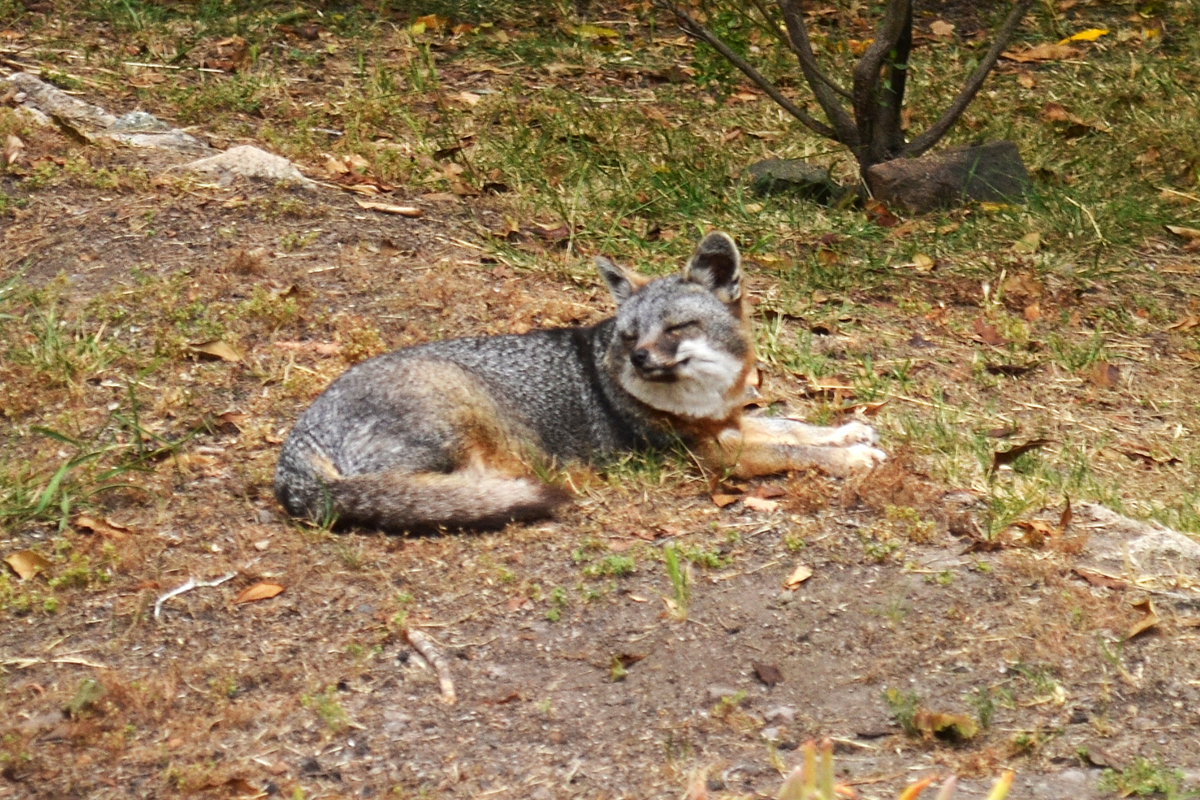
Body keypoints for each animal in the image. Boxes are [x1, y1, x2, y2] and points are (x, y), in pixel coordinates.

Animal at [276, 231, 888, 532]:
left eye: (676, 329)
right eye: (629, 335)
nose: (639, 359)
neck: (702, 402)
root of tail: (296, 442)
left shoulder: (727, 424)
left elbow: (790, 426)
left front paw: (847, 432)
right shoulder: (711, 457)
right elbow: (788, 449)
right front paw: (849, 459)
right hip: (461, 417)